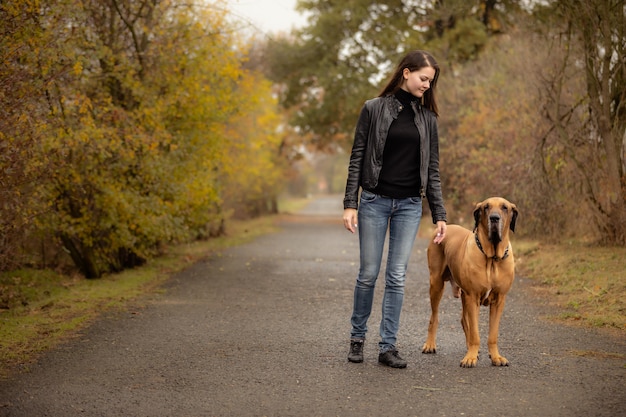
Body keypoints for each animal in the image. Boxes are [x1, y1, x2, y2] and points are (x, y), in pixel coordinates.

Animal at [422, 197, 520, 366]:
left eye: (505, 208)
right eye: (486, 207)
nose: (494, 218)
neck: (492, 258)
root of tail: (444, 228)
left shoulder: (499, 300)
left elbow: (492, 334)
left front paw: (496, 357)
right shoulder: (473, 297)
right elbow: (475, 333)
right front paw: (470, 358)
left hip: (463, 294)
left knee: (463, 319)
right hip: (436, 284)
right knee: (434, 317)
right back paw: (430, 344)